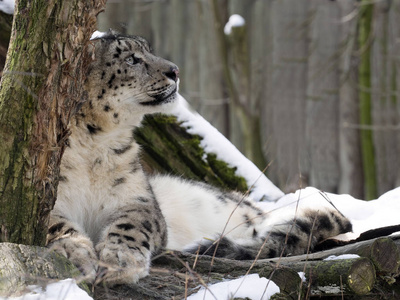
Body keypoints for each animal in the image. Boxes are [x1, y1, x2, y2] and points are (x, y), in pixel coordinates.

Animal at [47, 32, 352, 286]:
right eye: (131, 59)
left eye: (147, 50)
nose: (175, 71)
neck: (95, 144)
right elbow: (56, 225)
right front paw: (77, 254)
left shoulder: (138, 199)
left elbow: (131, 226)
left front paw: (119, 261)